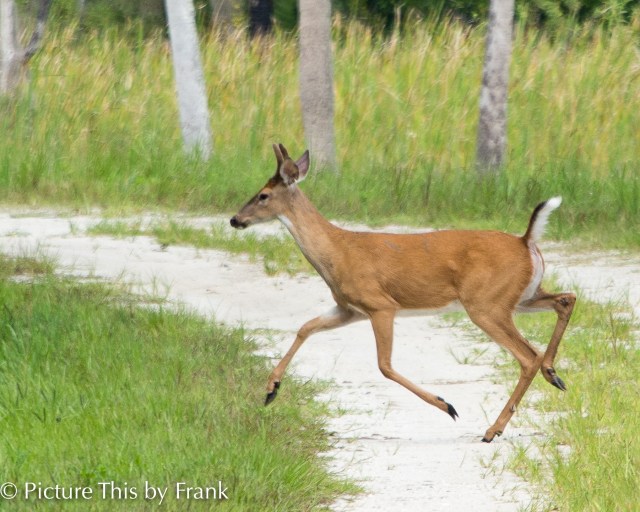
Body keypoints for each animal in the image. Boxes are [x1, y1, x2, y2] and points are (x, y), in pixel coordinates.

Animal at [230, 143, 576, 443]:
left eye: (263, 195)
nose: (235, 219)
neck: (337, 252)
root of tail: (525, 240)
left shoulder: (380, 304)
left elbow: (384, 365)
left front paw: (447, 406)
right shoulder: (348, 308)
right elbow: (305, 327)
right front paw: (271, 388)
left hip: (486, 303)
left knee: (527, 355)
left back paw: (493, 429)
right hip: (520, 297)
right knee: (565, 299)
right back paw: (553, 374)